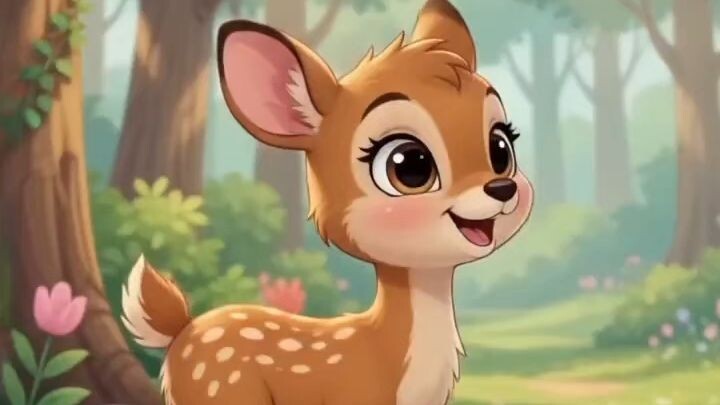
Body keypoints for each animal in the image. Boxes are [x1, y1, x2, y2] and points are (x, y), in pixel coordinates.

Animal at [121, 1, 533, 404]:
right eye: (410, 165)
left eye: (501, 146)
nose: (501, 188)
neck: (386, 355)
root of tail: (182, 328)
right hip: (224, 392)